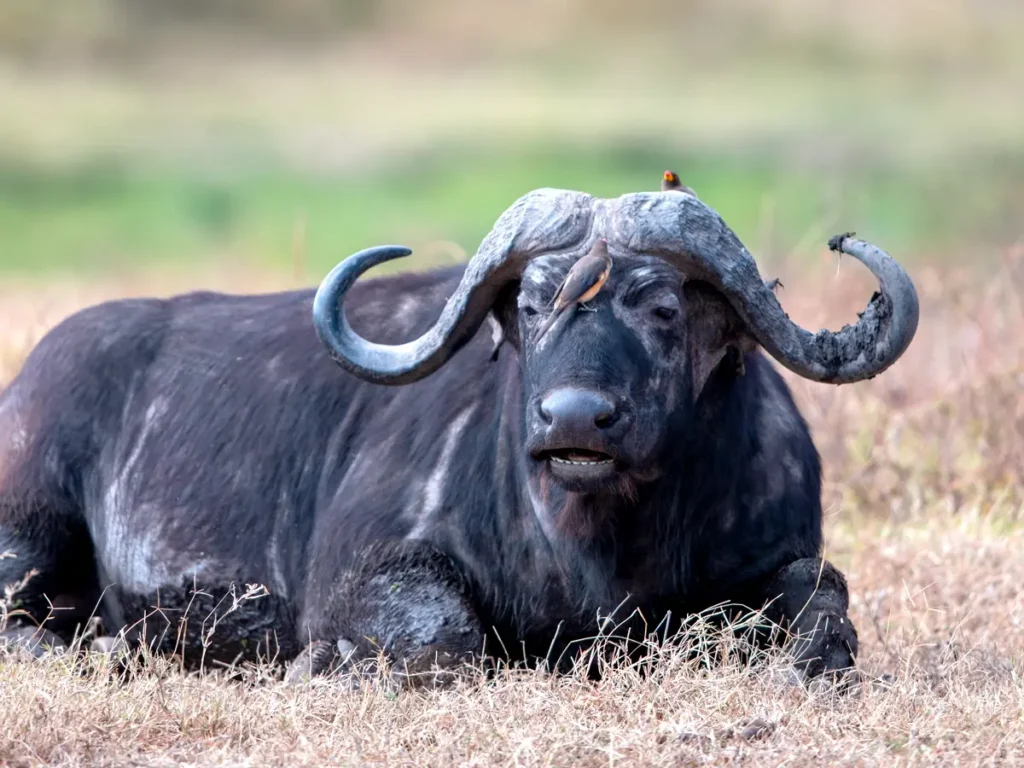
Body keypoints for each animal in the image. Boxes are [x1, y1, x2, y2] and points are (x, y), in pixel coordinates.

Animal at [0, 186, 918, 687]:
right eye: (534, 304)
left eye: (663, 308)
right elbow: (444, 638)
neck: (599, 546)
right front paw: (317, 666)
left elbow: (825, 613)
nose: (572, 419)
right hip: (27, 526)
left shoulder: (781, 549)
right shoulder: (361, 571)